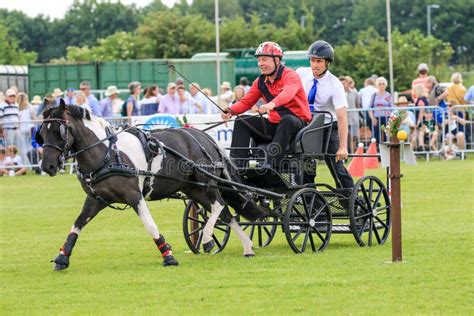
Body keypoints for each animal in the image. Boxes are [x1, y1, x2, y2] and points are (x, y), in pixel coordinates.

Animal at [39, 102, 268, 270]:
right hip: (193, 188)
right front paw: (62, 258)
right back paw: (247, 247)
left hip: (206, 184)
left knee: (219, 205)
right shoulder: (96, 198)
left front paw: (168, 255)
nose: (47, 166)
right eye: (42, 132)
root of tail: (205, 137)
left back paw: (207, 238)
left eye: (60, 131)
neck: (109, 153)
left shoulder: (134, 196)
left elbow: (150, 225)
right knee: (226, 213)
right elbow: (77, 225)